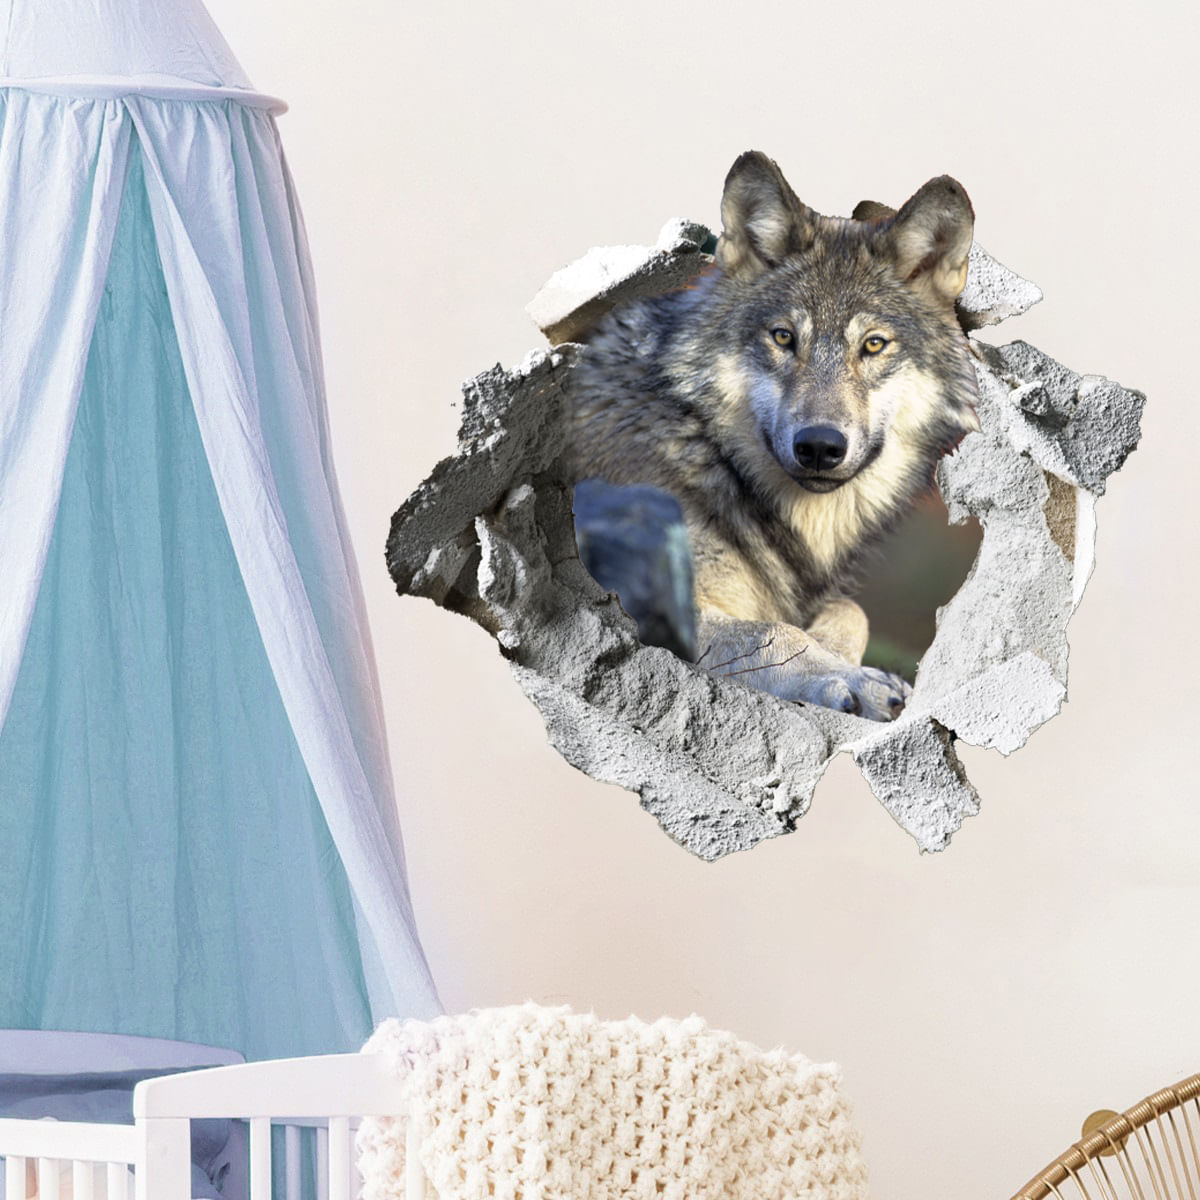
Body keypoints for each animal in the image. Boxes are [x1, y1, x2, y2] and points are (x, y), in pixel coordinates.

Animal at [566, 151, 980, 721]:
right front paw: (856, 680)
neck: (709, 453)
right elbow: (775, 633)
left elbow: (850, 610)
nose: (820, 446)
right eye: (784, 337)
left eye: (873, 345)